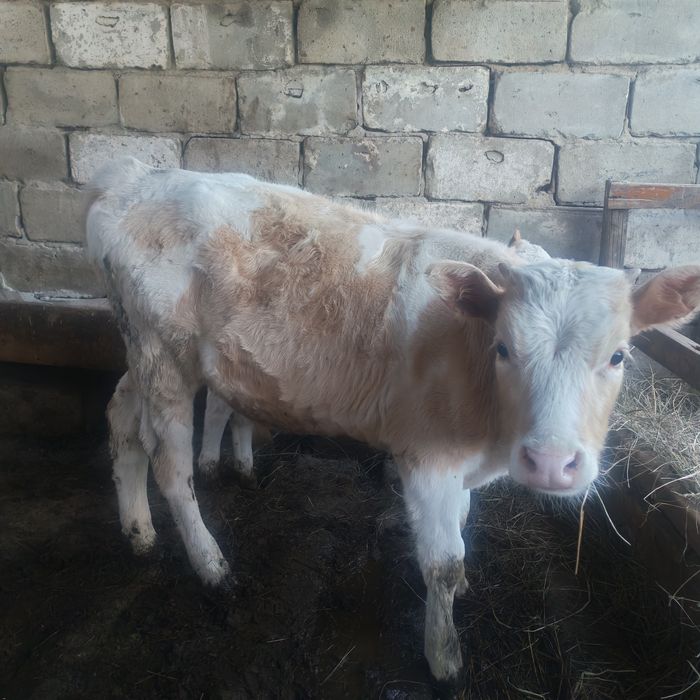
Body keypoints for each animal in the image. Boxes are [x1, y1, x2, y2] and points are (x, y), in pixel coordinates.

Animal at [86, 157, 700, 696]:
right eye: (504, 348)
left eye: (619, 356)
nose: (551, 463)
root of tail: (136, 175)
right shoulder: (426, 457)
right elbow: (443, 562)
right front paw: (445, 660)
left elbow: (462, 526)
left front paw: (466, 589)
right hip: (165, 354)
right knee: (170, 466)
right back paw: (212, 566)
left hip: (142, 355)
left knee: (121, 421)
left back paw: (138, 531)